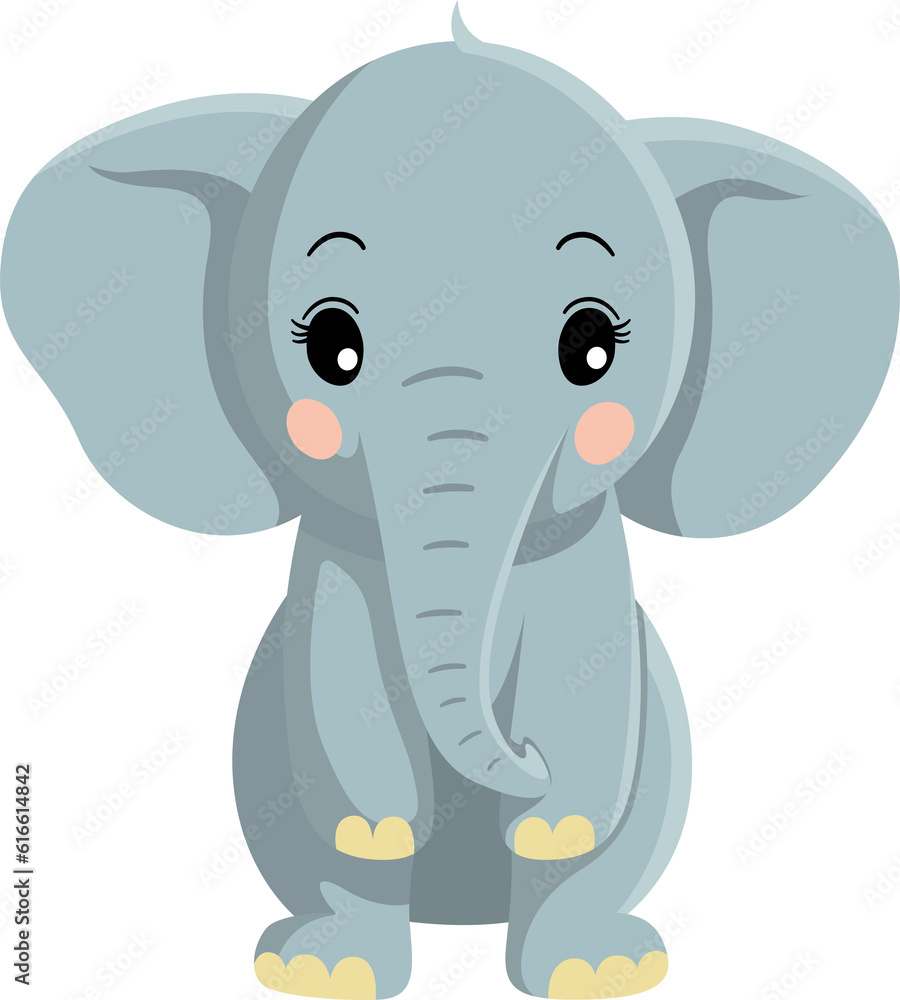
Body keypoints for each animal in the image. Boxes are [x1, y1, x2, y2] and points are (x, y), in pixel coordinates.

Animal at [3, 5, 897, 998]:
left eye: (594, 347)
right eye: (331, 346)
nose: (522, 761)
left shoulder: (589, 563)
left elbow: (590, 707)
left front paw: (550, 812)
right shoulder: (335, 567)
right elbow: (338, 708)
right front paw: (386, 824)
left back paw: (593, 966)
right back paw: (328, 968)